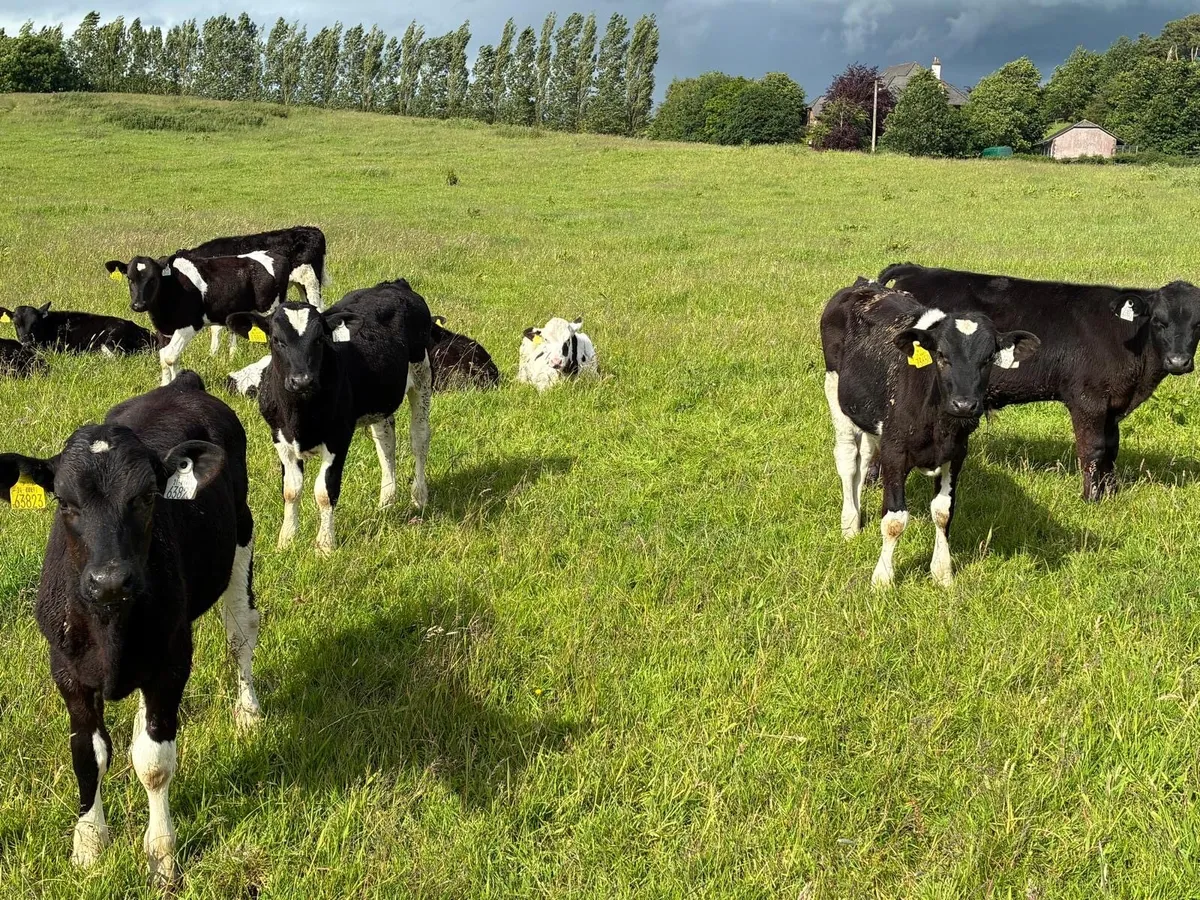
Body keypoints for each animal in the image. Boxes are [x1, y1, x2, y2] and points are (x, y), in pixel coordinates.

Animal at [0, 372, 261, 884]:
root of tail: (184, 384)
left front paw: (162, 855)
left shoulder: (172, 660)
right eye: (65, 502)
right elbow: (88, 755)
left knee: (241, 633)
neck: (110, 627)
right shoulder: (67, 670)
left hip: (242, 537)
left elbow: (155, 763)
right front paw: (88, 847)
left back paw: (249, 711)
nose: (110, 580)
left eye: (145, 498)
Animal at [104, 251, 288, 385]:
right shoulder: (164, 330)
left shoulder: (188, 326)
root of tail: (276, 255)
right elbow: (164, 357)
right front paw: (165, 384)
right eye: (130, 278)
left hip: (269, 310)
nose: (138, 305)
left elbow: (170, 356)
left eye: (153, 279)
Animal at [226, 280, 433, 554]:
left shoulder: (338, 438)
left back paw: (419, 497)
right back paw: (386, 502)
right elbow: (291, 490)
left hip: (422, 375)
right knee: (386, 442)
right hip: (381, 400)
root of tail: (393, 284)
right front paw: (286, 540)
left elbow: (325, 492)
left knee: (419, 439)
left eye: (320, 339)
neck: (299, 416)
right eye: (277, 340)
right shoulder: (279, 437)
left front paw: (324, 545)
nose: (302, 380)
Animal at [821, 279, 1039, 587]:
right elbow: (895, 520)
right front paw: (882, 578)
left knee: (864, 457)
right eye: (942, 356)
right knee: (848, 458)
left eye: (987, 359)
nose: (964, 404)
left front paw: (942, 572)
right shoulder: (895, 451)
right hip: (835, 388)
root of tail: (866, 284)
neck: (938, 425)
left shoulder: (956, 453)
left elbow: (943, 512)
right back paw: (850, 523)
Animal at [880, 262, 1200, 501]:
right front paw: (1091, 498)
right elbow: (1093, 449)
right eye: (1158, 321)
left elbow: (1111, 448)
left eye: (1198, 323)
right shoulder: (1088, 400)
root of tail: (917, 269)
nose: (1178, 362)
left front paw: (1111, 493)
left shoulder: (1113, 404)